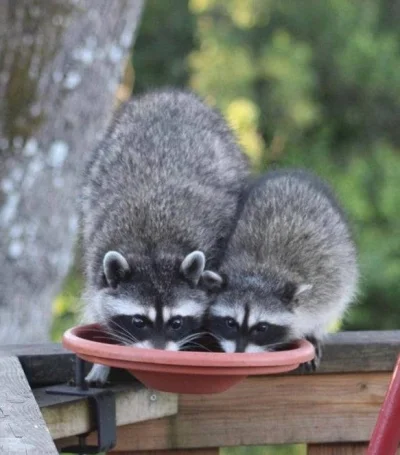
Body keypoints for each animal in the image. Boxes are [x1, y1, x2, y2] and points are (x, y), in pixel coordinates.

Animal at [79, 87, 250, 382]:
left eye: (176, 322)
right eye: (139, 321)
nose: (157, 355)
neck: (154, 247)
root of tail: (170, 94)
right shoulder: (96, 255)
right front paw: (102, 359)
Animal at [205, 169, 358, 368]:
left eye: (262, 327)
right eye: (230, 322)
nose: (239, 354)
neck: (259, 271)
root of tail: (291, 176)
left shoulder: (323, 290)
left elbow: (327, 308)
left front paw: (314, 333)